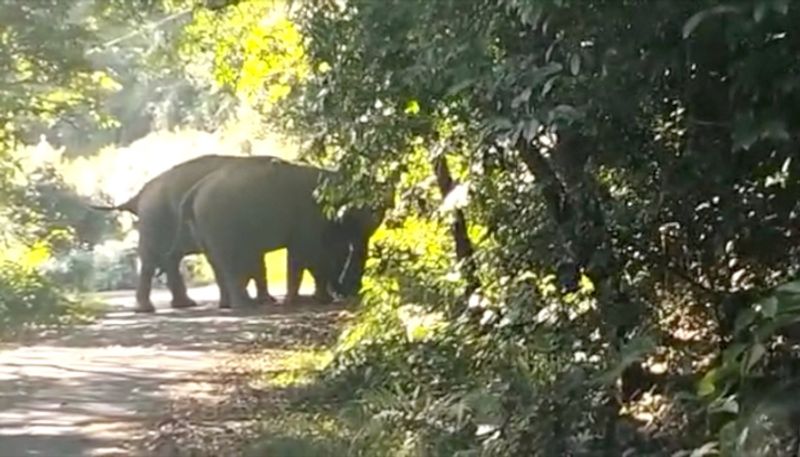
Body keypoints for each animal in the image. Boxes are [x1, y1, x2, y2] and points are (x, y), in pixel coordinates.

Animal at [90, 155, 284, 312]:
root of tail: (139, 195)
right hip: (154, 219)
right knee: (151, 259)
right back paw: (147, 309)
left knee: (170, 259)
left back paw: (184, 305)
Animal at [178, 156, 384, 306]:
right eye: (355, 219)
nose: (351, 293)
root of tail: (193, 192)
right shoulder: (309, 214)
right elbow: (306, 253)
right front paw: (298, 301)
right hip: (218, 222)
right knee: (229, 260)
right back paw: (244, 306)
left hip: (204, 227)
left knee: (216, 262)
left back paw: (229, 305)